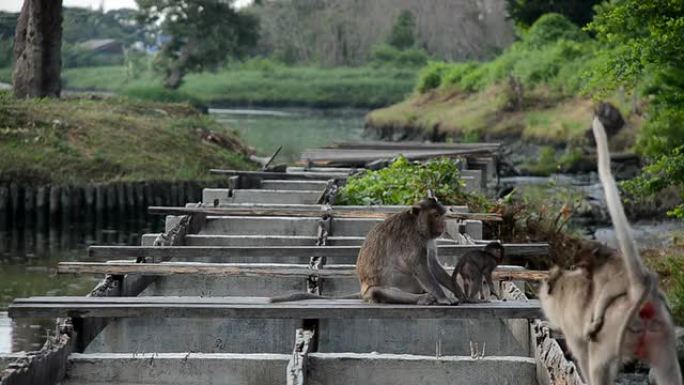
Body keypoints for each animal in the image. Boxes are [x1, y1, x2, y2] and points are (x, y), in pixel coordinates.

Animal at [270, 198, 468, 304]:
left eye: (441, 216)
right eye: (435, 215)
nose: (442, 226)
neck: (417, 225)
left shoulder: (428, 240)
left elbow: (433, 265)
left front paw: (458, 292)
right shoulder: (412, 240)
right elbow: (420, 267)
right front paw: (443, 297)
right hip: (370, 292)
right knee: (378, 291)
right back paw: (424, 298)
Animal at [540, 116, 684, 384]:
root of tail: (640, 289)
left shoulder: (573, 325)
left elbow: (581, 354)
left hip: (612, 334)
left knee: (598, 362)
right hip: (660, 334)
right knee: (668, 371)